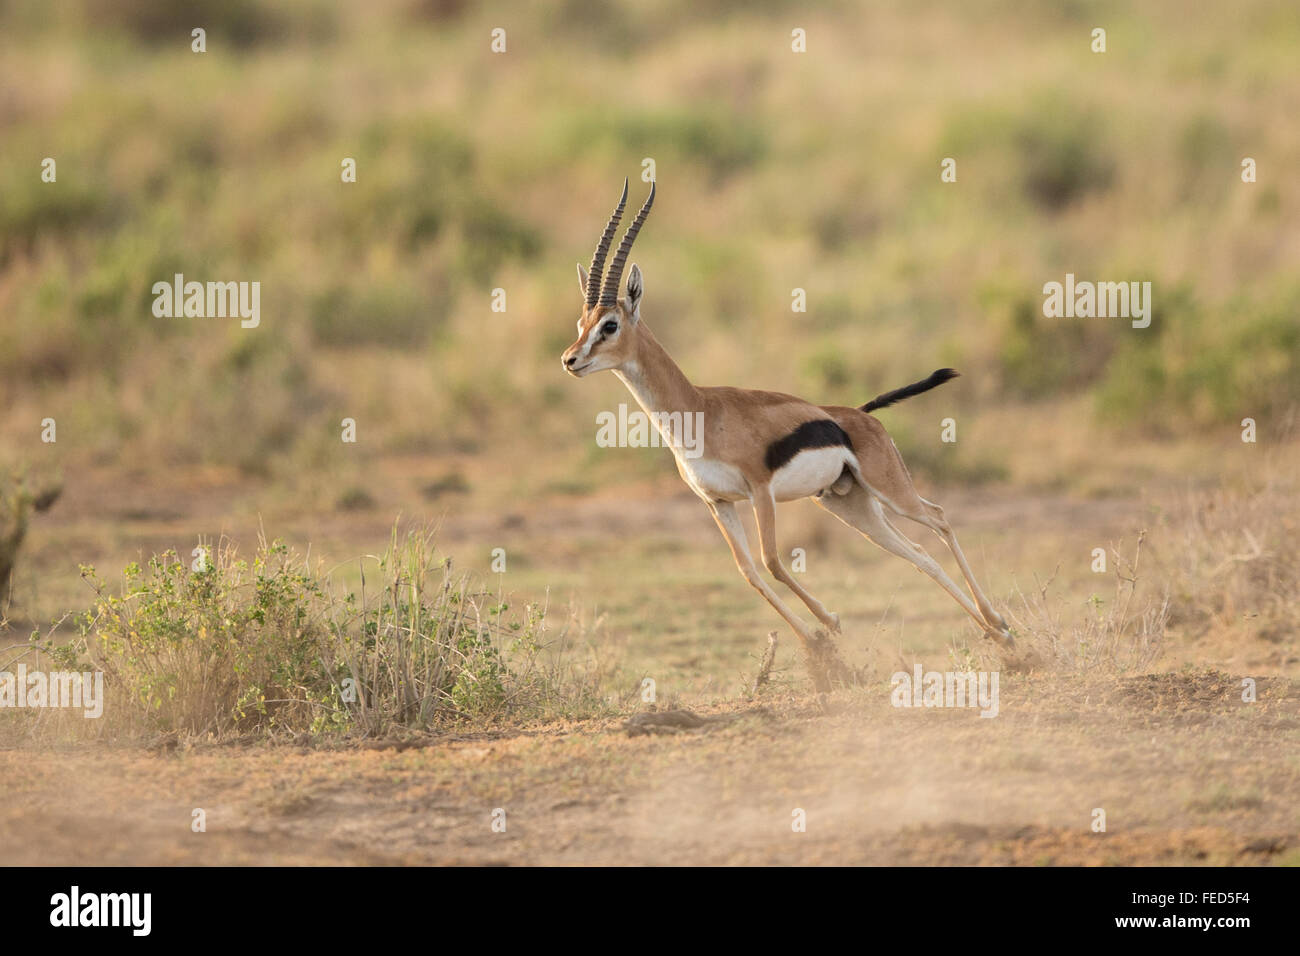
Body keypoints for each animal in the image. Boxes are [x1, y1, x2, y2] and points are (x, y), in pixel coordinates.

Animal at [562, 180, 1015, 686]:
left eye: (610, 324)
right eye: (582, 323)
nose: (570, 359)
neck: (699, 411)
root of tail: (859, 415)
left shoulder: (760, 491)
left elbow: (773, 561)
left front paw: (830, 623)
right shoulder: (717, 503)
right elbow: (748, 572)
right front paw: (819, 642)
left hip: (890, 490)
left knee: (938, 518)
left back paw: (1000, 624)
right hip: (850, 505)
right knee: (917, 553)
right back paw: (999, 636)